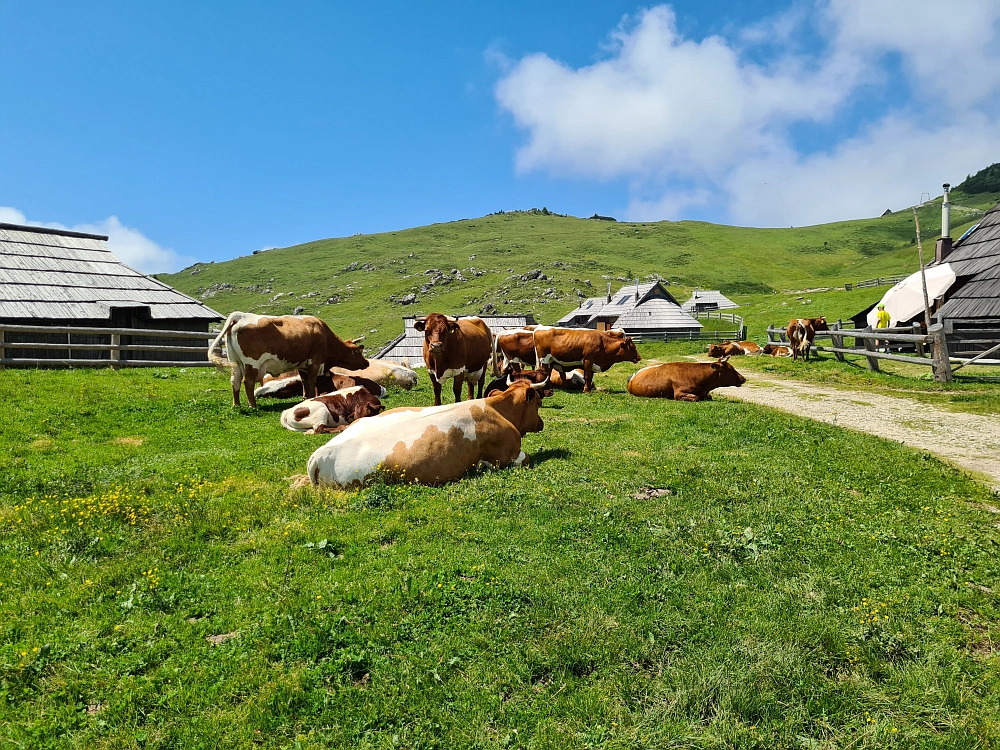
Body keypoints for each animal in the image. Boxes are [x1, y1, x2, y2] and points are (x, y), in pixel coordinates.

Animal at [209, 312, 370, 412]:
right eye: (358, 352)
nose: (367, 363)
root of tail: (240, 316)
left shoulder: (302, 363)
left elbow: (304, 380)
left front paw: (305, 397)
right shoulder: (315, 360)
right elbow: (311, 380)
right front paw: (312, 397)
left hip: (234, 362)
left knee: (235, 381)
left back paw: (236, 405)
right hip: (251, 363)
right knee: (247, 382)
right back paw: (252, 406)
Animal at [308, 378, 552, 490]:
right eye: (538, 403)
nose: (541, 423)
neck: (497, 409)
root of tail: (319, 455)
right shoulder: (509, 455)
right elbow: (526, 458)